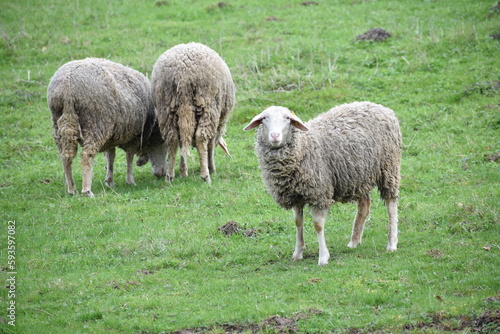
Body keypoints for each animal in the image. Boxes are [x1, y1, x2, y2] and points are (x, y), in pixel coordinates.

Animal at [47, 58, 167, 197]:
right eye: (164, 145)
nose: (161, 174)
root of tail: (67, 88)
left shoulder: (111, 137)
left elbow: (111, 157)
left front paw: (109, 181)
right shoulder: (134, 136)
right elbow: (129, 157)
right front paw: (130, 180)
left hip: (59, 124)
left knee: (66, 156)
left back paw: (72, 189)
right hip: (96, 124)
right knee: (86, 155)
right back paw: (87, 190)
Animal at [151, 42, 235, 185]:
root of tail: (183, 75)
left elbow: (183, 143)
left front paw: (183, 171)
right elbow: (210, 146)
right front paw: (211, 167)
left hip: (166, 108)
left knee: (173, 139)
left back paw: (169, 176)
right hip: (208, 106)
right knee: (201, 137)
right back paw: (206, 175)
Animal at [242, 102, 402, 266]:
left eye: (287, 118)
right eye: (264, 118)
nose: (275, 136)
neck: (302, 147)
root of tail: (379, 106)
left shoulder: (320, 193)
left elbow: (318, 226)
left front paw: (323, 257)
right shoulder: (296, 196)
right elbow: (298, 223)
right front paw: (298, 252)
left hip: (389, 167)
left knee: (391, 204)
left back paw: (392, 243)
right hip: (359, 176)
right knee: (364, 205)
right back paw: (354, 241)